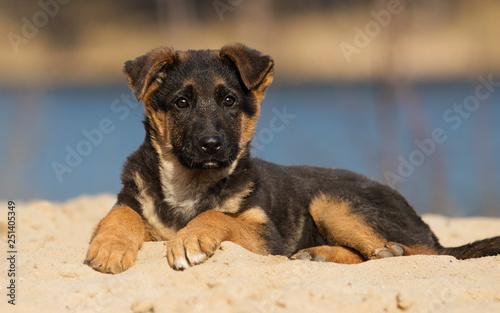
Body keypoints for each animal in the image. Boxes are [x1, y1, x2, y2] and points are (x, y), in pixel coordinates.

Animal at [86, 42, 500, 272]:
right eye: (181, 103)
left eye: (229, 100)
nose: (211, 144)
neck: (190, 183)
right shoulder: (131, 201)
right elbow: (118, 215)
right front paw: (110, 247)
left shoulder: (267, 237)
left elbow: (218, 215)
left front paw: (191, 239)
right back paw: (318, 255)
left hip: (332, 199)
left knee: (420, 252)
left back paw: (385, 250)